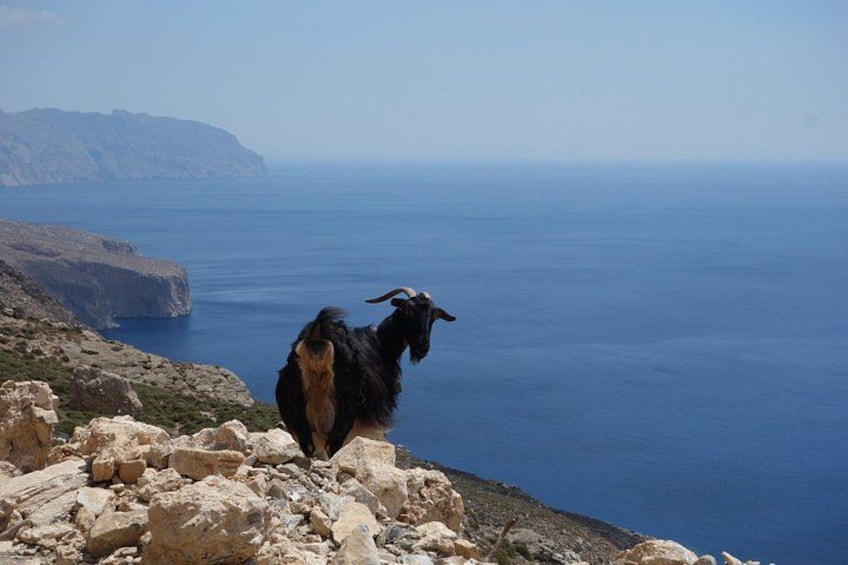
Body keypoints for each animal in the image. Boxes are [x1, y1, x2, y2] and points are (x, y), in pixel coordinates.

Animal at [275, 287, 455, 458]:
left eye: (434, 316)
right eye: (408, 310)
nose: (422, 346)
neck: (381, 344)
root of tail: (318, 335)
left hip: (297, 411)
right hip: (346, 408)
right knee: (332, 447)